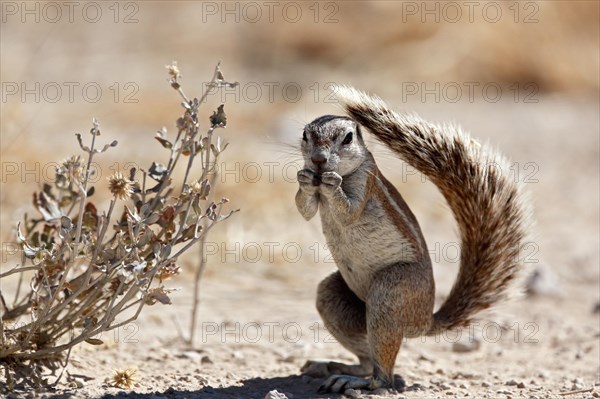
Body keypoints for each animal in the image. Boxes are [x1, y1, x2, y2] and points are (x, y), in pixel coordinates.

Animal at [294, 86, 528, 394]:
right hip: (333, 295)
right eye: (305, 135)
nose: (318, 160)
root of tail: (424, 321)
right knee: (367, 359)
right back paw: (338, 368)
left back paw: (359, 381)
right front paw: (304, 178)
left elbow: (348, 211)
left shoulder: (365, 182)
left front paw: (332, 184)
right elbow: (305, 209)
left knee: (384, 375)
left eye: (347, 138)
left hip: (391, 291)